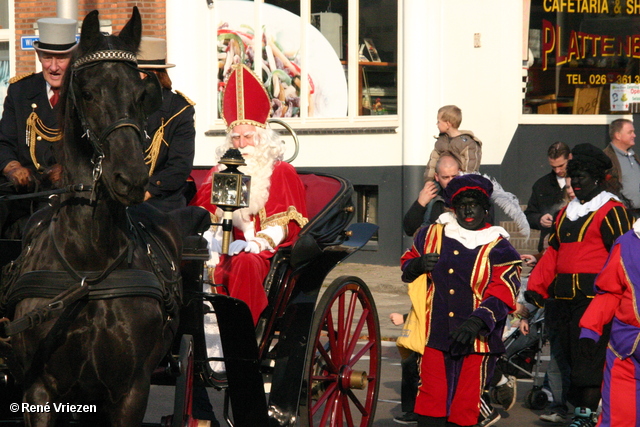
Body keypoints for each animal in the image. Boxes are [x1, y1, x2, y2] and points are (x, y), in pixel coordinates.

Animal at [2, 7, 182, 427]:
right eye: (87, 93)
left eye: (141, 95)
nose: (130, 178)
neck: (89, 264)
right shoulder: (40, 389)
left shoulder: (131, 390)